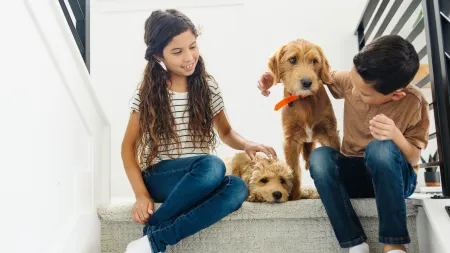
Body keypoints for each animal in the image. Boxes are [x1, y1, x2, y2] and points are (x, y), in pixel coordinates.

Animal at [268, 38, 342, 200]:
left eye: (314, 61)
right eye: (292, 60)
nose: (307, 82)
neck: (305, 102)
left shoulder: (330, 133)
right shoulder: (291, 139)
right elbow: (293, 172)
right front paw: (293, 197)